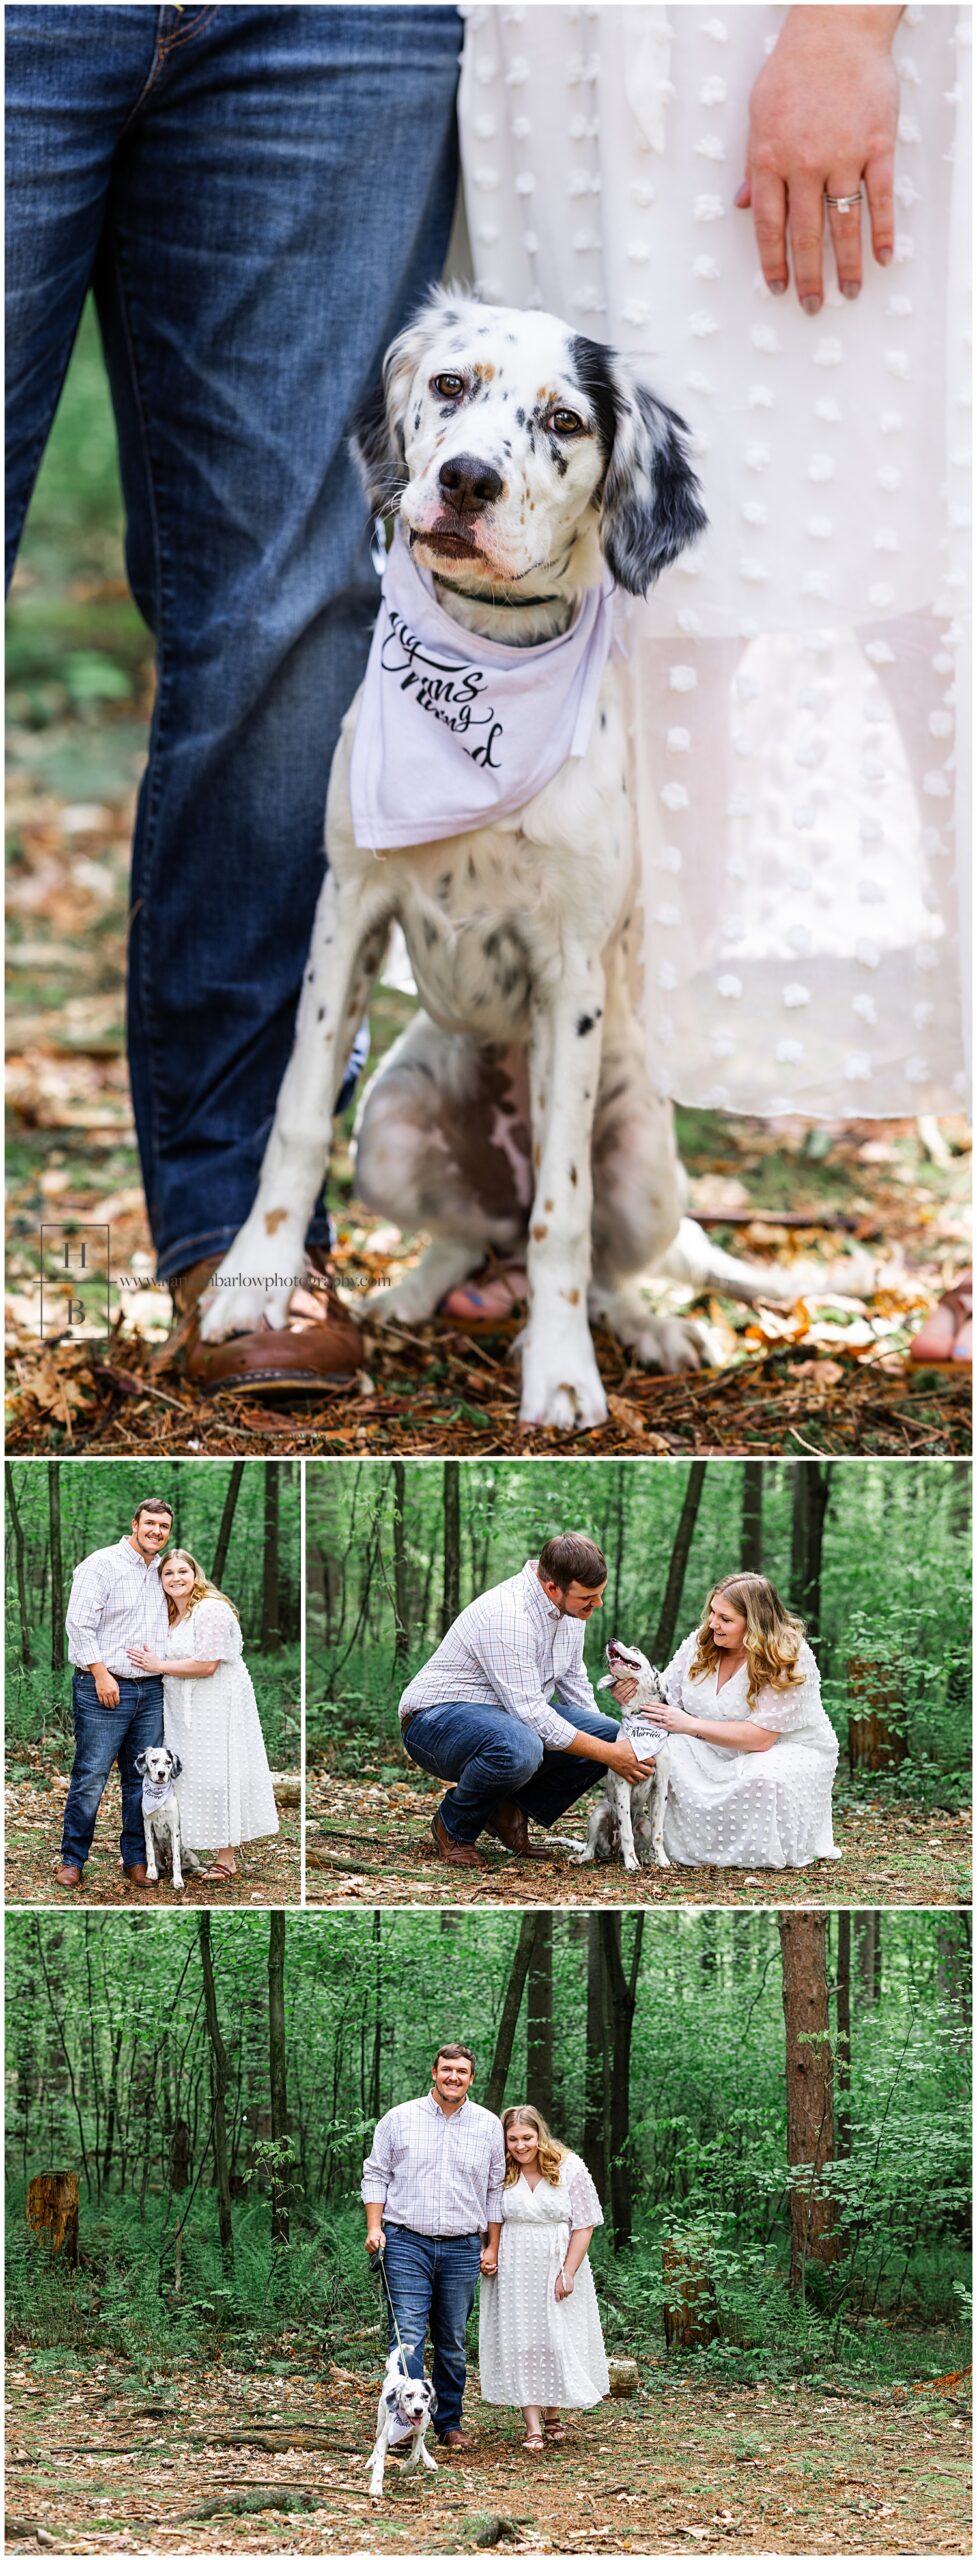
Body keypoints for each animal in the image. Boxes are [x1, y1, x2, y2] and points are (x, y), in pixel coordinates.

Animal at [133, 1751, 200, 1894]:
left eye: (168, 1762)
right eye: (154, 1760)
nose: (161, 1773)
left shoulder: (174, 1827)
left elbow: (176, 1860)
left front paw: (178, 1881)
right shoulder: (147, 1823)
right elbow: (150, 1851)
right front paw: (151, 1872)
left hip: (193, 1858)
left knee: (187, 1866)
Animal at [202, 294, 828, 1443]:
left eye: (565, 421)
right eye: (450, 387)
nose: (464, 482)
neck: (479, 660)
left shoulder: (570, 967)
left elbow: (561, 1217)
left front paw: (561, 1371)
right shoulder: (346, 905)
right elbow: (295, 1118)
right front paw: (251, 1288)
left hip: (647, 1174)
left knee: (579, 1246)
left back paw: (642, 1327)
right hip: (393, 1126)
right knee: (464, 1235)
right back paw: (410, 1295)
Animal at [365, 2344, 439, 2498]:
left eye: (425, 2396)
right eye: (408, 2395)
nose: (418, 2410)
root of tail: (395, 2375)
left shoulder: (420, 2432)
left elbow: (415, 2456)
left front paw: (405, 2469)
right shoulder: (384, 2438)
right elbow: (379, 2463)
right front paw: (376, 2486)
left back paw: (429, 2460)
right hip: (380, 2423)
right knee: (376, 2442)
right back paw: (371, 2460)